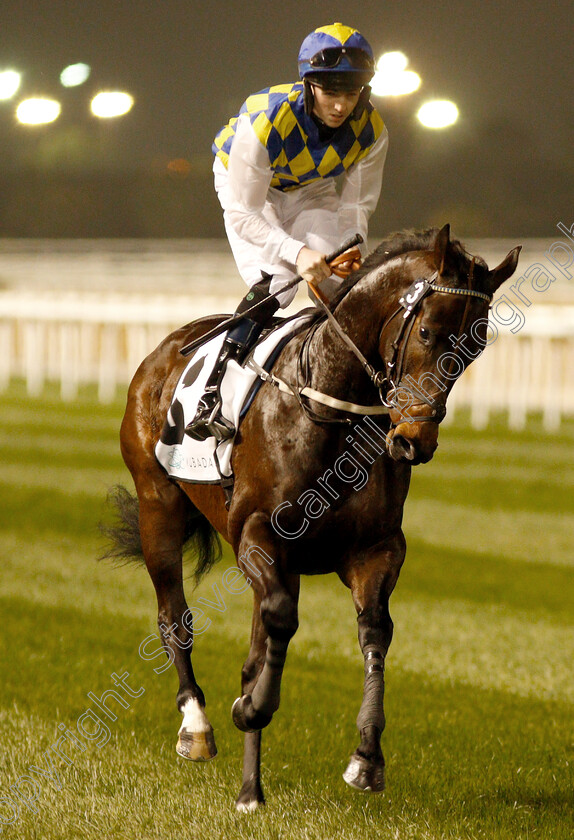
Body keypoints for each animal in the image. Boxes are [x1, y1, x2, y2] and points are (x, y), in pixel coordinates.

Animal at [104, 225, 520, 812]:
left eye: (476, 345)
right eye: (428, 331)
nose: (414, 441)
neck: (330, 408)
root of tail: (167, 348)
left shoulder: (375, 549)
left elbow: (373, 631)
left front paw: (366, 757)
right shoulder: (258, 534)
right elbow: (278, 622)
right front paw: (249, 708)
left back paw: (250, 791)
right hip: (156, 506)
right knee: (173, 617)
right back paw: (197, 726)